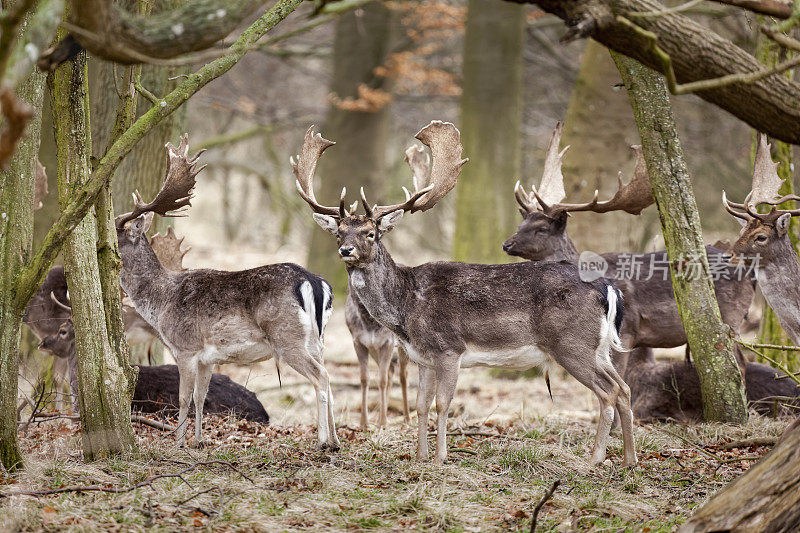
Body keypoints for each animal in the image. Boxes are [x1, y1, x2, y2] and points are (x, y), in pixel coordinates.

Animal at [114, 136, 340, 448]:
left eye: (115, 234)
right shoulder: (208, 358)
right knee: (329, 378)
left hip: (288, 338)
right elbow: (200, 397)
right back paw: (337, 440)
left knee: (322, 377)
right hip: (318, 340)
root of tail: (314, 282)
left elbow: (183, 398)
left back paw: (323, 441)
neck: (161, 303)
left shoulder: (185, 347)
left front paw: (178, 443)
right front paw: (198, 441)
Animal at [294, 120, 636, 466]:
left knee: (609, 391)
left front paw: (440, 457)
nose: (346, 250)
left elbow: (442, 404)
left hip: (572, 343)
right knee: (624, 388)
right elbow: (421, 405)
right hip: (599, 348)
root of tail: (606, 287)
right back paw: (628, 460)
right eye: (339, 233)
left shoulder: (449, 348)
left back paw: (595, 459)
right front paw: (420, 457)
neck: (406, 308)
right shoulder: (422, 357)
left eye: (371, 233)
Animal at [506, 123, 756, 374]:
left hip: (731, 315)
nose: (506, 243)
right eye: (521, 225)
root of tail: (750, 273)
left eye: (541, 229)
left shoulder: (626, 332)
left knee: (740, 361)